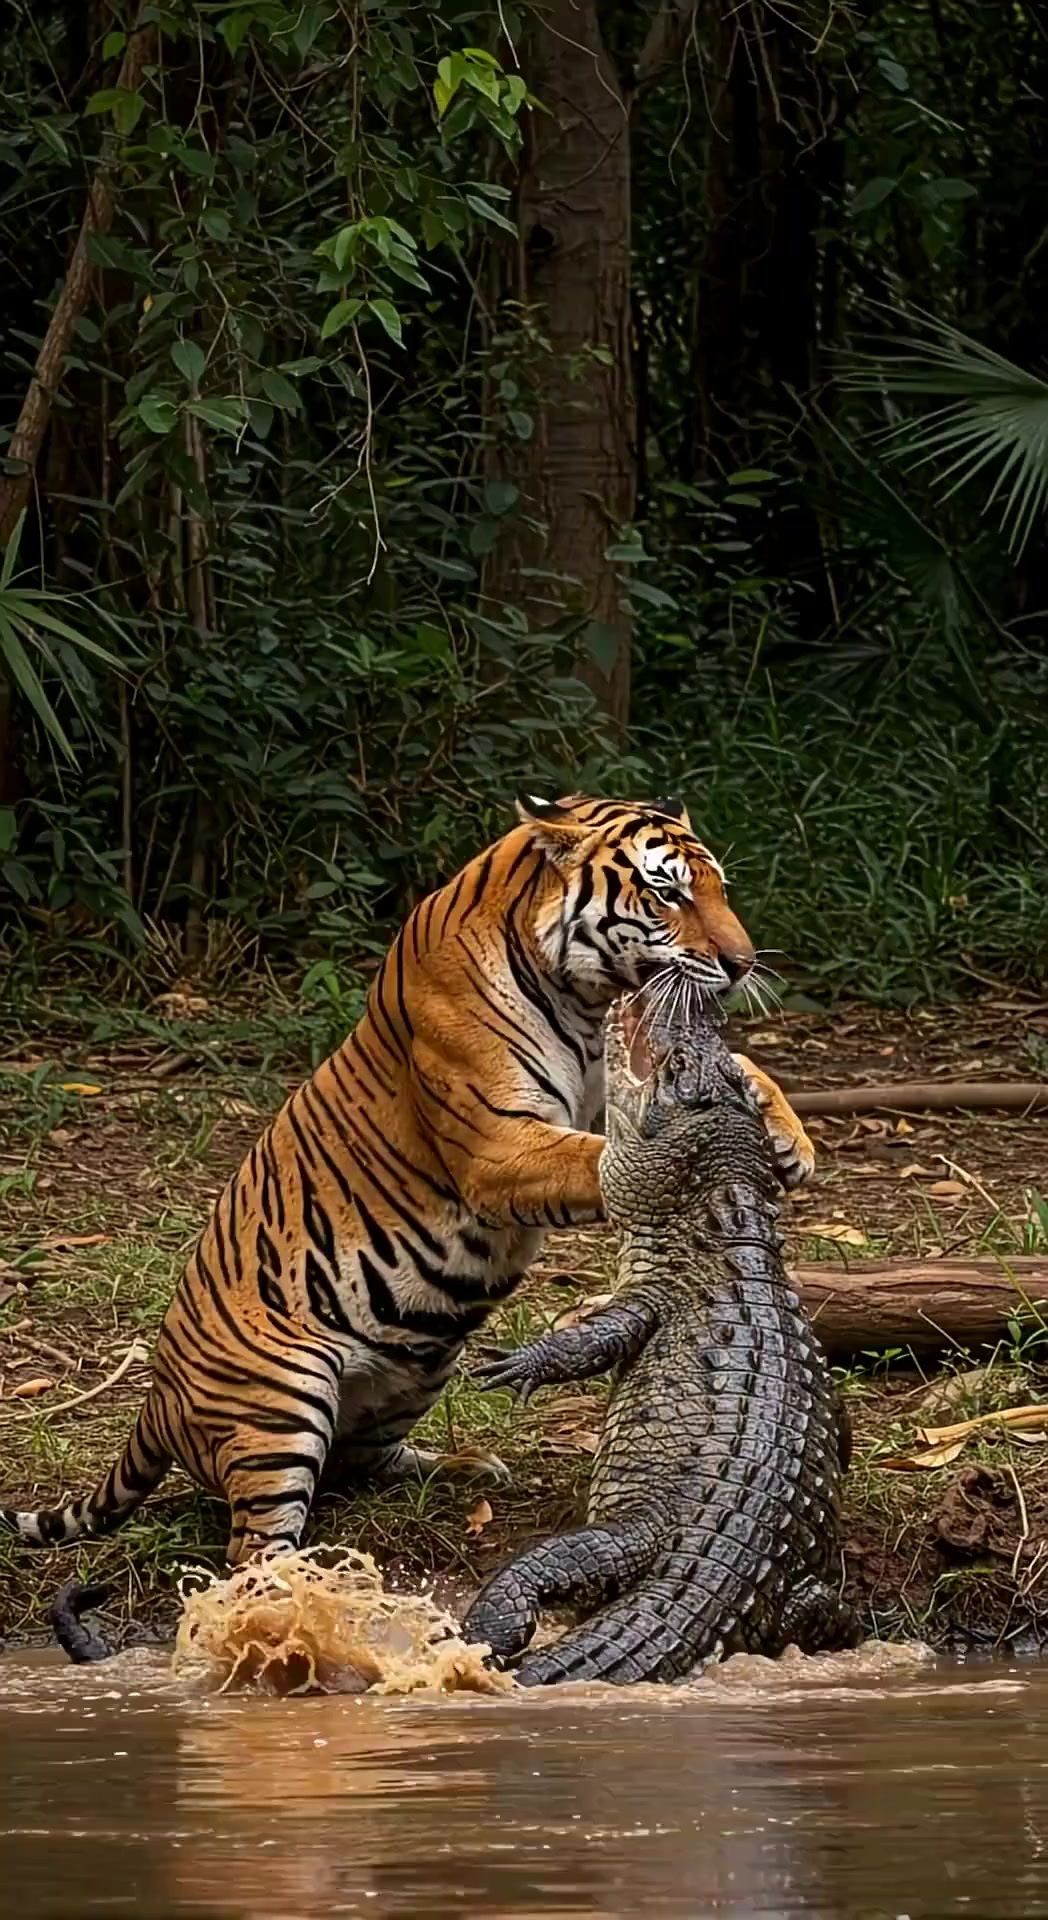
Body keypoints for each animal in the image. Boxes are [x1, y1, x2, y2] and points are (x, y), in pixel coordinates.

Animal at [1, 793, 813, 1572]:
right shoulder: (498, 1145)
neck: (584, 1001)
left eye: (719, 889)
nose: (743, 964)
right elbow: (602, 1157)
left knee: (356, 1466)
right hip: (285, 1396)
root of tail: (157, 1397)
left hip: (416, 1371)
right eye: (667, 892)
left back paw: (465, 1467)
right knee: (252, 1548)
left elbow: (733, 1069)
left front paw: (791, 1142)